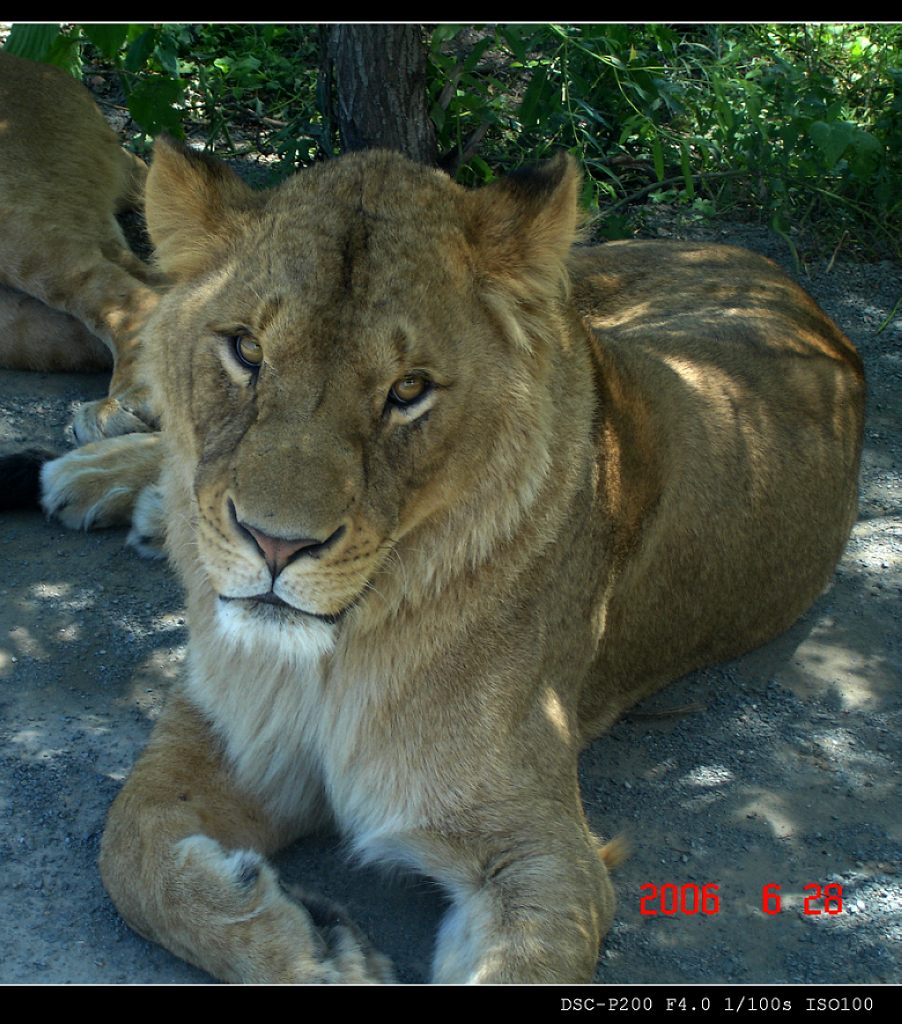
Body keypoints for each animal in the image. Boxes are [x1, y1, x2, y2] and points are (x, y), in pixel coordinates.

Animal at [33, 140, 864, 978]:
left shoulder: (539, 848)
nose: (276, 543)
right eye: (246, 350)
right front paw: (311, 951)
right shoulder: (219, 721)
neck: (329, 659)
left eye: (409, 389)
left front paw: (321, 947)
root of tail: (752, 259)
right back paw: (99, 467)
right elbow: (129, 848)